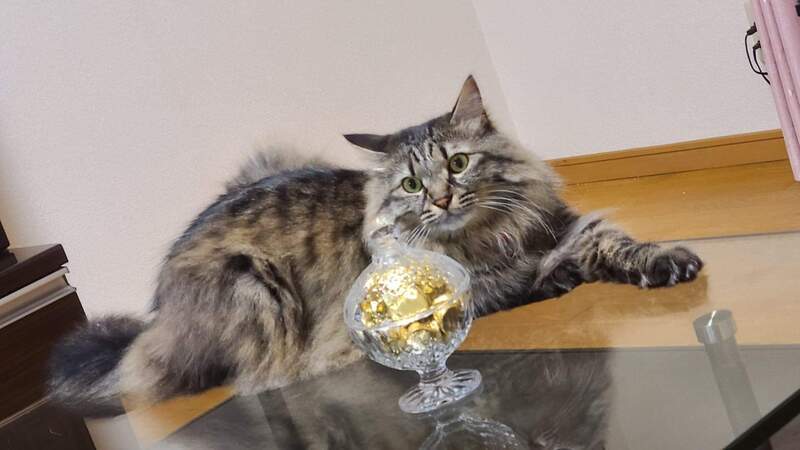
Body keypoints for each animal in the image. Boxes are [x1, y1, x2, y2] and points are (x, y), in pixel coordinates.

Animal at [49, 76, 702, 415]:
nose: (441, 198)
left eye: (458, 164)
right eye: (412, 184)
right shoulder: (437, 296)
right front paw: (551, 279)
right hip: (253, 283)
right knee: (260, 376)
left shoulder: (563, 226)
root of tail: (157, 318)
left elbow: (616, 242)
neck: (488, 239)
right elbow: (507, 287)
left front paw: (665, 261)